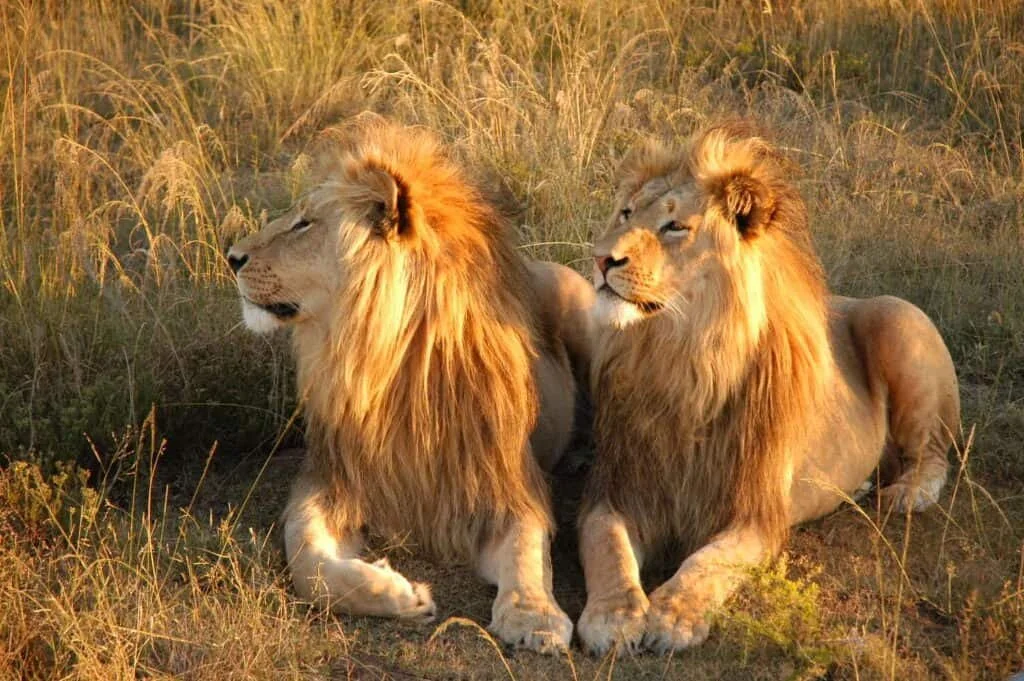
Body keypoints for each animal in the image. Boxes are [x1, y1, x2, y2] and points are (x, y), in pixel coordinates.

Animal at [226, 117, 594, 653]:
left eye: (304, 224)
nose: (231, 256)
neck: (388, 365)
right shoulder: (330, 478)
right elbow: (308, 562)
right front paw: (399, 594)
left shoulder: (509, 484)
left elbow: (527, 553)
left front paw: (535, 617)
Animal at [576, 124, 960, 655]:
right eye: (627, 213)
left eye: (674, 227)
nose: (600, 260)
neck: (681, 359)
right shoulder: (617, 489)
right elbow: (606, 545)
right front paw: (613, 616)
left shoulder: (755, 512)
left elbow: (709, 561)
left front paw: (673, 616)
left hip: (898, 318)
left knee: (935, 453)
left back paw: (906, 493)